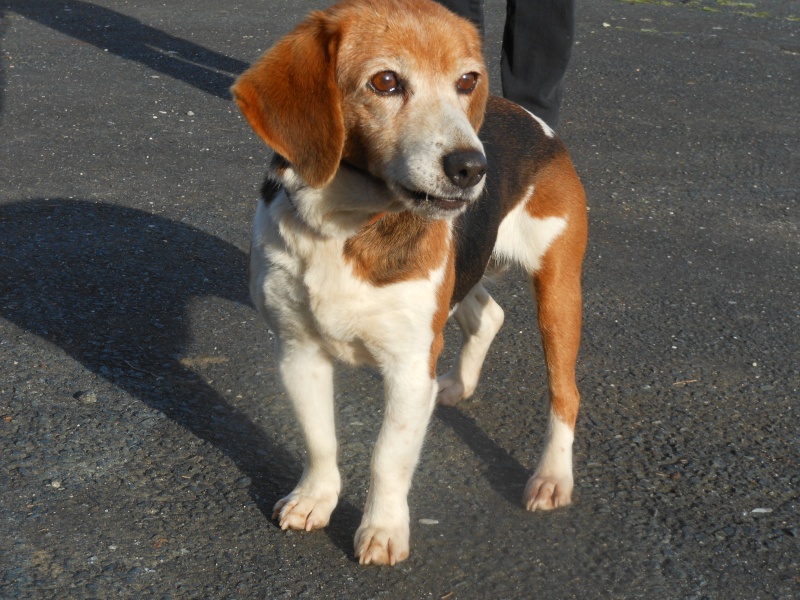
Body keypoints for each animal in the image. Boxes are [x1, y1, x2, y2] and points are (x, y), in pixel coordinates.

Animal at [231, 0, 588, 564]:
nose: (472, 168)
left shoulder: (407, 367)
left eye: (466, 80)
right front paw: (315, 498)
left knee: (564, 394)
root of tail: (535, 123)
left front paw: (382, 529)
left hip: (558, 293)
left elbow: (386, 457)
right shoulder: (298, 351)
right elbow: (320, 440)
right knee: (488, 315)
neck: (346, 223)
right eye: (385, 81)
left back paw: (552, 476)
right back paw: (458, 384)